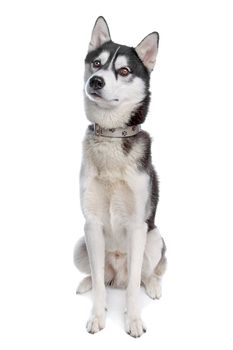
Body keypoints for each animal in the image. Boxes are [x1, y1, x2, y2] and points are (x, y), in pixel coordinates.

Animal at [73, 15, 167, 336]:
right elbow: (101, 288)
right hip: (81, 244)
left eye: (124, 70)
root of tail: (119, 274)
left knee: (144, 275)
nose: (95, 81)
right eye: (96, 63)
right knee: (101, 276)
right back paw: (87, 282)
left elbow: (134, 288)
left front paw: (134, 319)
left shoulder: (138, 226)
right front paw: (97, 316)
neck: (112, 135)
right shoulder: (91, 224)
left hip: (155, 238)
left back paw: (152, 286)